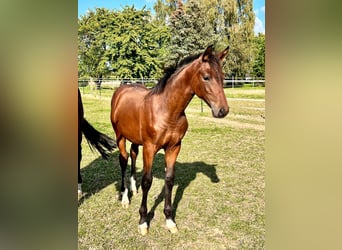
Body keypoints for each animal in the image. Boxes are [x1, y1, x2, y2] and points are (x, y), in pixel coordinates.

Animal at [111, 45, 230, 234]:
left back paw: (133, 189)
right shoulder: (150, 148)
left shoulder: (174, 147)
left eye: (223, 77)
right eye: (206, 77)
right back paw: (124, 198)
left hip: (135, 139)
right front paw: (143, 221)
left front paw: (169, 219)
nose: (222, 110)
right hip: (120, 137)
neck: (167, 110)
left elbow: (169, 179)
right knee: (123, 160)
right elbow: (147, 181)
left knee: (133, 154)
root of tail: (122, 90)